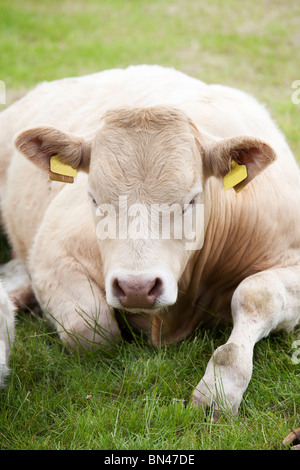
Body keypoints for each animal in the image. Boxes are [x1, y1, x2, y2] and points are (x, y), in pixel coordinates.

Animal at [0, 64, 300, 414]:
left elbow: (256, 294)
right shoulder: (52, 252)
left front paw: (221, 387)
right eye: (94, 198)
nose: (136, 288)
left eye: (192, 200)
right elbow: (92, 331)